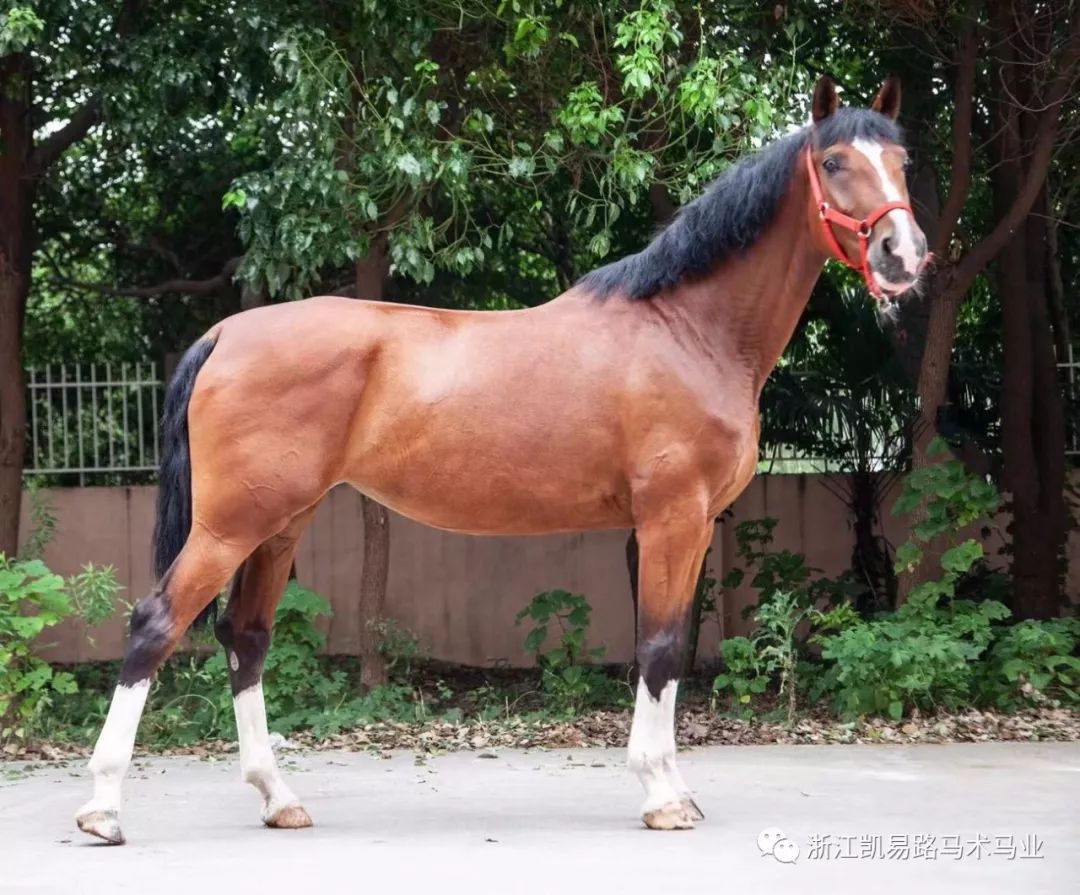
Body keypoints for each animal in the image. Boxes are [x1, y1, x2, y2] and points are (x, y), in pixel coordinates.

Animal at [75, 74, 927, 843]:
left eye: (902, 159)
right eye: (836, 162)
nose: (904, 254)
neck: (687, 329)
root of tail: (226, 333)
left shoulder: (688, 528)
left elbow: (670, 647)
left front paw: (674, 786)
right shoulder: (670, 518)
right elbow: (656, 646)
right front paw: (660, 794)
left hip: (280, 523)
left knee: (246, 637)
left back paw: (277, 797)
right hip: (228, 526)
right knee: (155, 624)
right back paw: (103, 807)